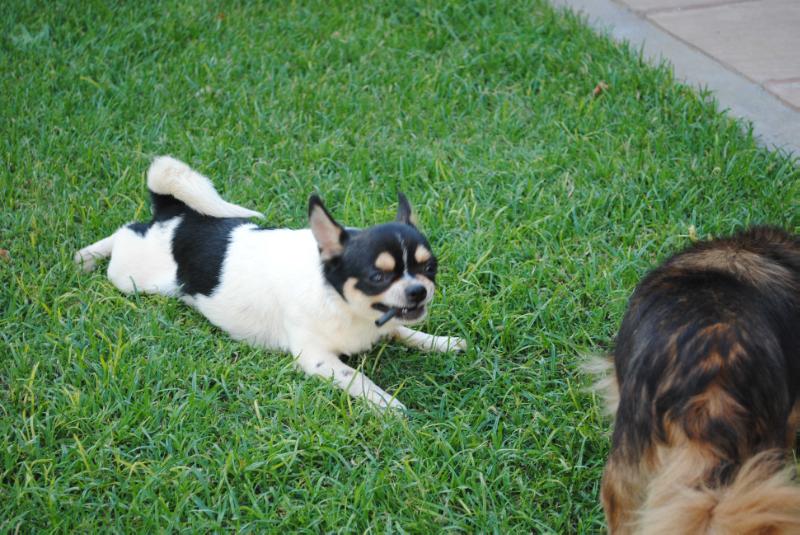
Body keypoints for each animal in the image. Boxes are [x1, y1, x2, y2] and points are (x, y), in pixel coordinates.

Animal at [76, 157, 462, 412]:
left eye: (430, 268)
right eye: (377, 277)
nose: (419, 291)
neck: (340, 302)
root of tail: (175, 214)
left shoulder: (388, 324)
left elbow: (404, 331)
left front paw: (441, 342)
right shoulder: (317, 359)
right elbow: (358, 378)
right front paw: (387, 403)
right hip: (132, 276)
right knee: (124, 232)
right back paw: (87, 255)